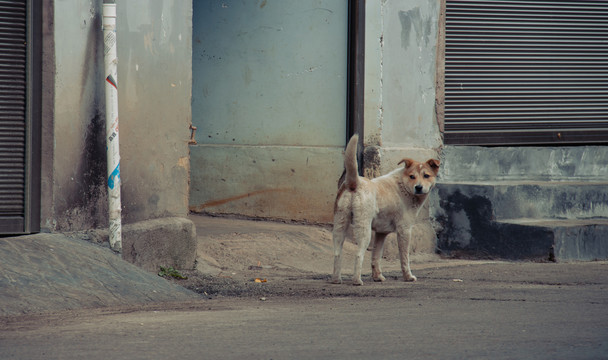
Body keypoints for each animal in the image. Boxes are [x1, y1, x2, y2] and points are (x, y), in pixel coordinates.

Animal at [332, 134, 436, 286]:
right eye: (412, 176)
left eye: (426, 176)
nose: (418, 187)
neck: (403, 186)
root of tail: (354, 182)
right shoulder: (404, 230)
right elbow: (404, 258)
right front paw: (408, 277)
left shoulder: (381, 233)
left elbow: (376, 257)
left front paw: (377, 277)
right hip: (364, 230)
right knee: (358, 255)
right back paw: (357, 280)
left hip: (340, 226)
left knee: (337, 254)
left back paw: (336, 280)